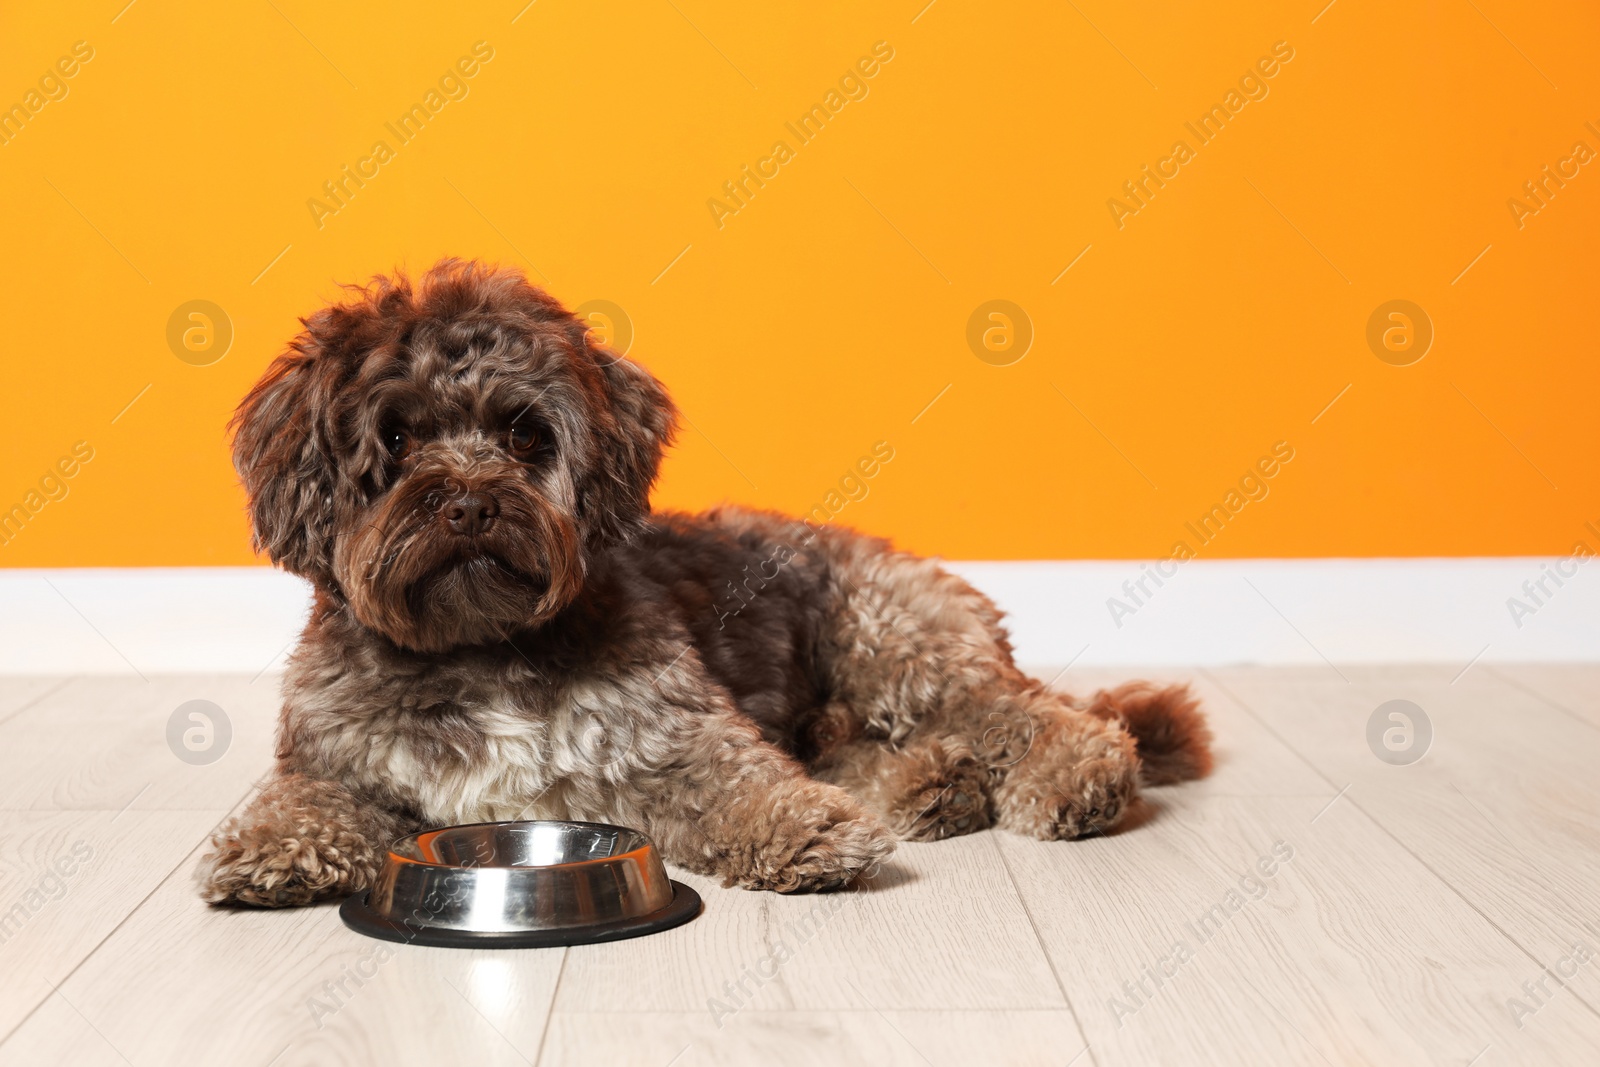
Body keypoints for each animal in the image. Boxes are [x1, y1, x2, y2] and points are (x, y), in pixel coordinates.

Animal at [193, 260, 1203, 908]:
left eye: (524, 433)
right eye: (396, 437)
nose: (472, 503)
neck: (481, 646)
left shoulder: (673, 739)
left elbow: (743, 784)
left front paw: (805, 830)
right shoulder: (339, 758)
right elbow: (307, 800)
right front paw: (266, 849)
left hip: (897, 647)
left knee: (1031, 714)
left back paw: (1073, 777)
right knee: (876, 744)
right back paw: (933, 786)